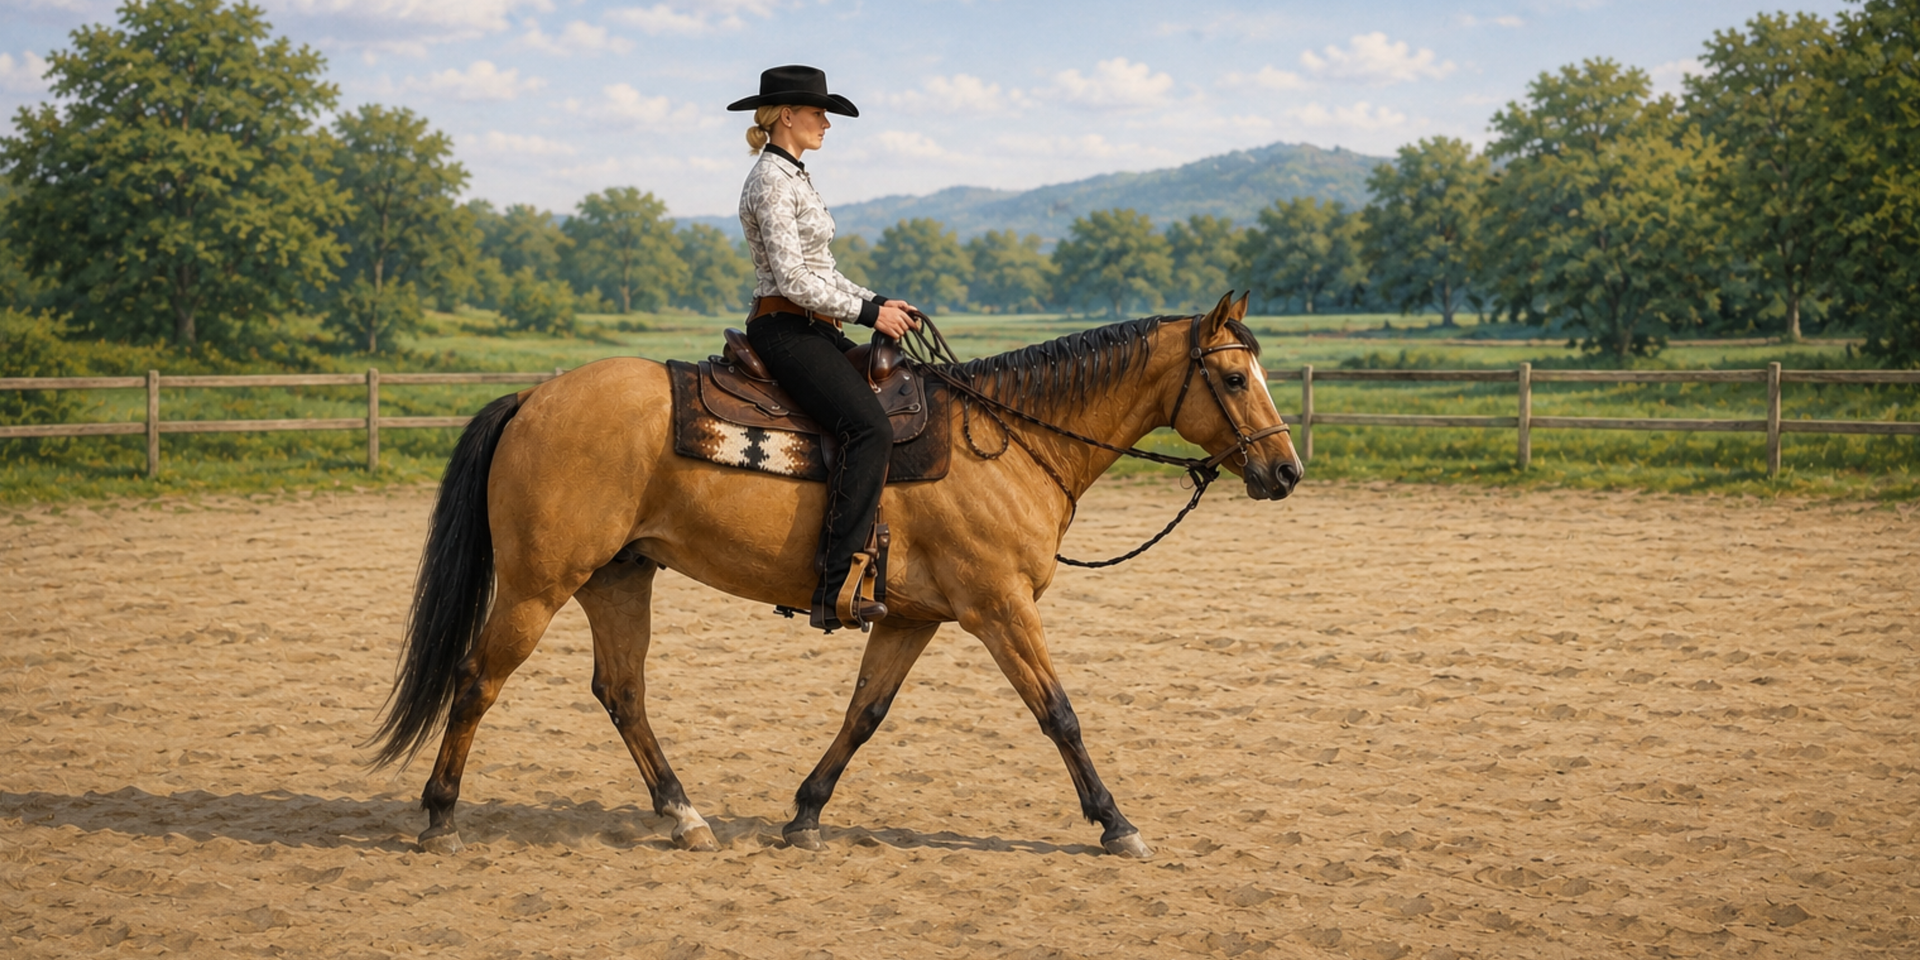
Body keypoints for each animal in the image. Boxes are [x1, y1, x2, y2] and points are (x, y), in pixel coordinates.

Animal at [369, 292, 1303, 859]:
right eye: (1231, 376)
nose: (1287, 471)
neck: (1007, 441)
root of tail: (534, 397)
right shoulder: (1000, 609)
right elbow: (1060, 715)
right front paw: (1116, 824)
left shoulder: (912, 617)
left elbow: (865, 714)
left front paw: (805, 812)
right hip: (538, 584)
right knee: (477, 681)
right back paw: (441, 816)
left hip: (619, 577)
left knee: (622, 693)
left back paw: (685, 814)